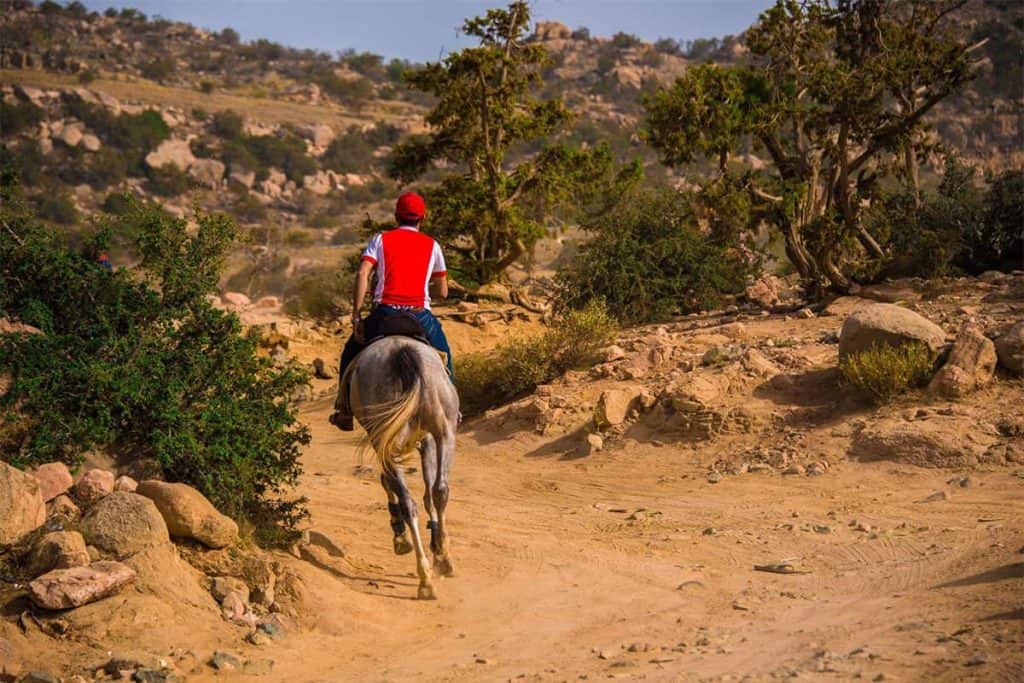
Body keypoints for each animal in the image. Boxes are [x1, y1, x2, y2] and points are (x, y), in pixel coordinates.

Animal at [338, 335, 459, 600]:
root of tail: (403, 351)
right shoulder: (424, 438)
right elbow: (429, 492)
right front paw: (435, 543)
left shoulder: (386, 440)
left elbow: (387, 481)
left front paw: (401, 535)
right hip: (444, 432)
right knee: (439, 491)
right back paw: (441, 561)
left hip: (385, 437)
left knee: (408, 500)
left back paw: (425, 571)